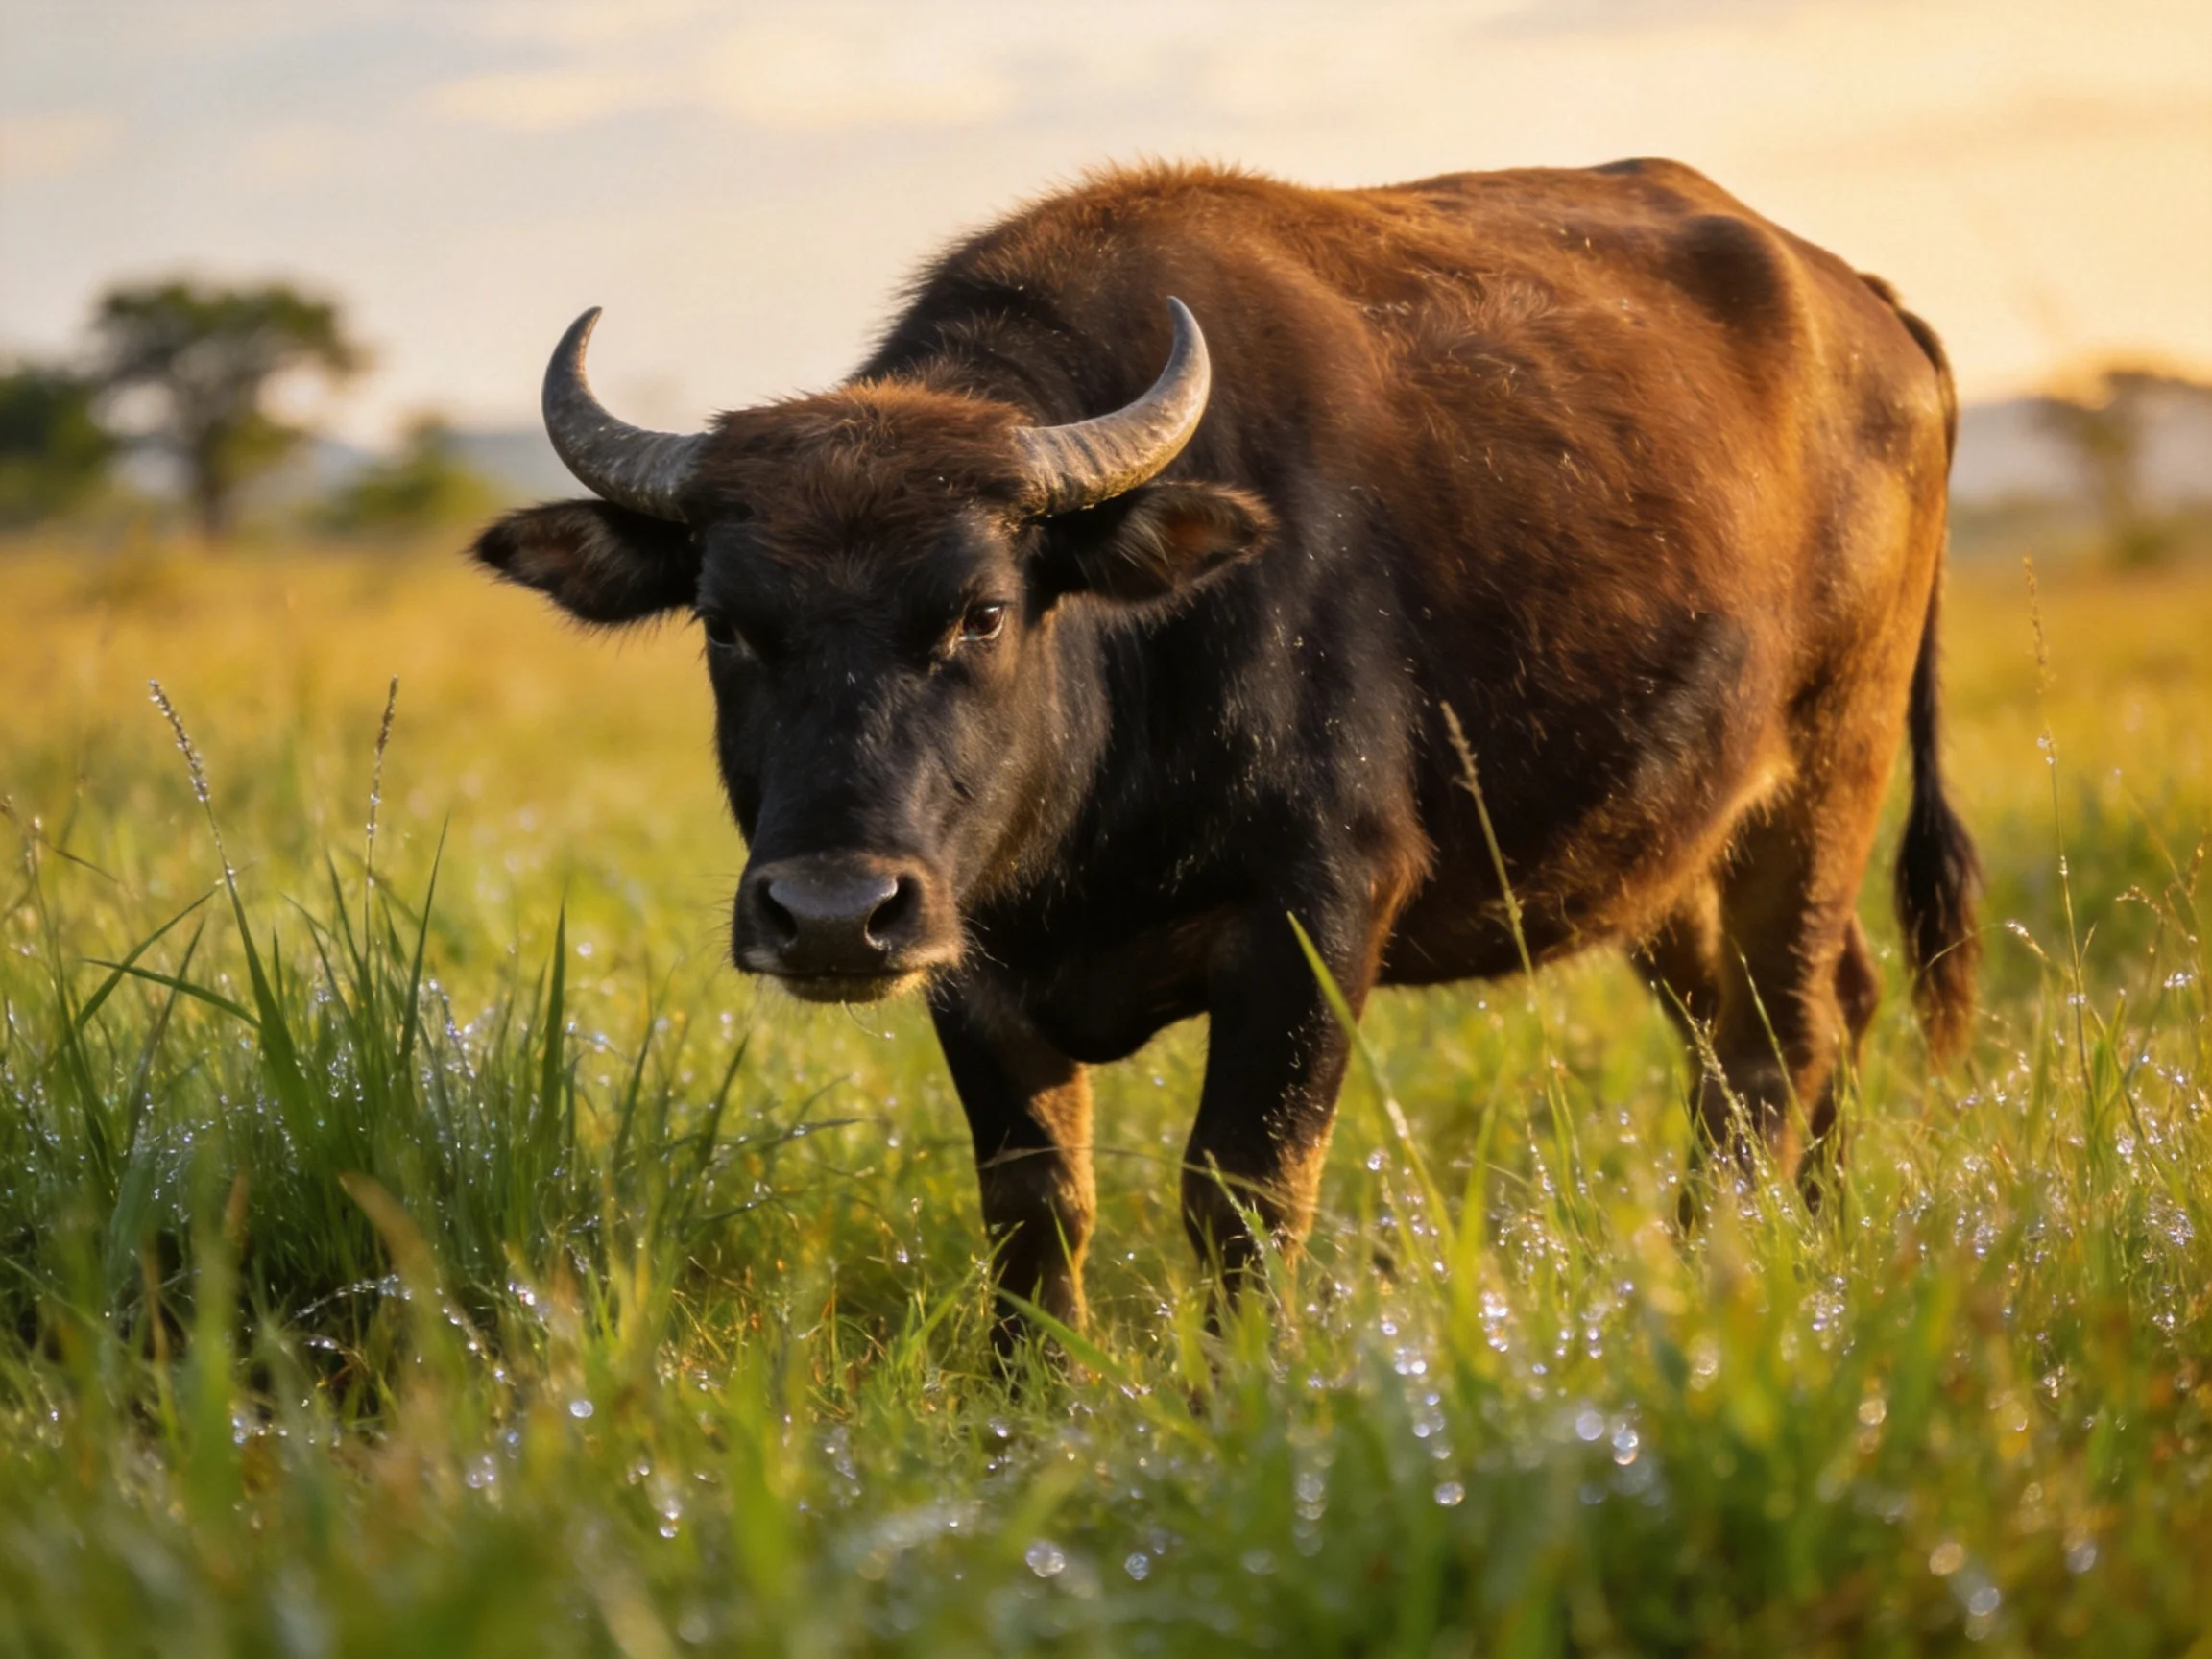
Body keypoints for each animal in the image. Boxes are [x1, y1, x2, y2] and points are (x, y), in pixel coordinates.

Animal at [473, 160, 1980, 1343]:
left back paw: (1743, 1260)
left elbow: (1241, 1194)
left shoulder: (1315, 914)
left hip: (1828, 769)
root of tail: (1870, 312)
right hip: (1667, 846)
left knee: (1777, 1040)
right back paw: (1807, 1246)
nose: (834, 914)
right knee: (1808, 1011)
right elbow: (1037, 1202)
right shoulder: (970, 953)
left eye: (982, 610)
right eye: (729, 623)